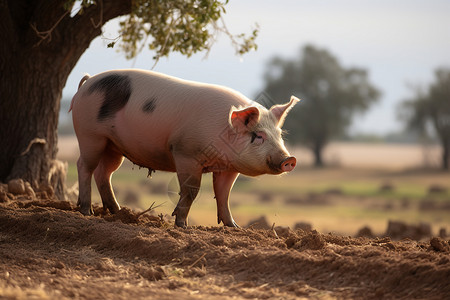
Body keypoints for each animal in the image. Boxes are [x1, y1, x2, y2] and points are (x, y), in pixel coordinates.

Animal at [70, 68, 298, 227]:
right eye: (258, 136)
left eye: (279, 135)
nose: (289, 159)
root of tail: (88, 82)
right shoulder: (185, 153)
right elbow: (191, 191)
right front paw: (182, 225)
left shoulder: (229, 167)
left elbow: (224, 194)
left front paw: (234, 227)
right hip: (90, 135)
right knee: (84, 166)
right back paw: (86, 211)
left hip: (113, 146)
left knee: (104, 173)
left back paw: (117, 212)